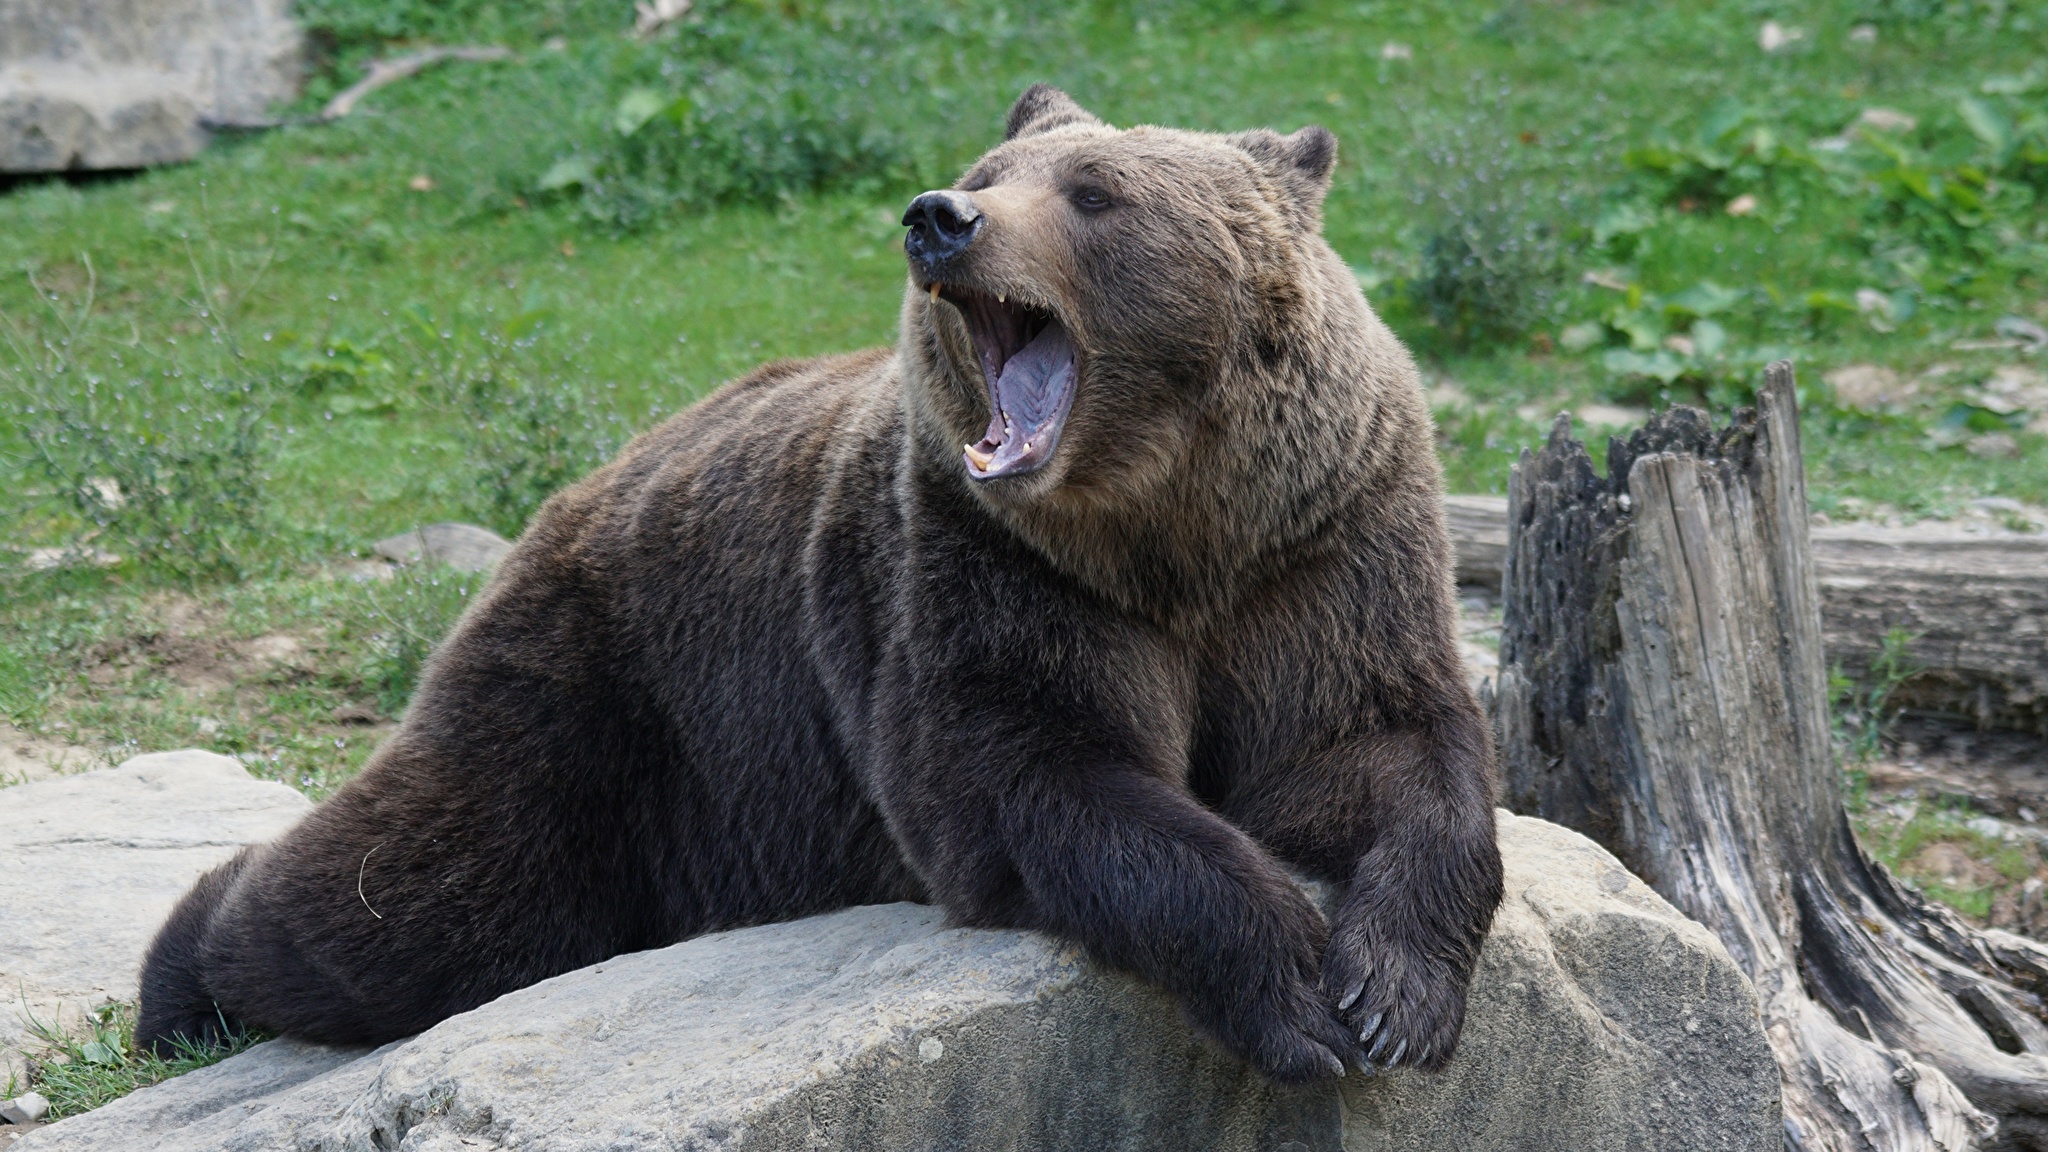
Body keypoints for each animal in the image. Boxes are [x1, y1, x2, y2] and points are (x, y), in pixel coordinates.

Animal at [132, 87, 1507, 1074]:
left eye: (1096, 191)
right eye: (990, 175)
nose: (937, 215)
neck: (1165, 527)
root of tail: (576, 491)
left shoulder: (1321, 545)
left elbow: (1378, 745)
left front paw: (1391, 996)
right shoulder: (982, 570)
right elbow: (1040, 777)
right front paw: (1294, 995)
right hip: (615, 707)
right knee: (421, 900)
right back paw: (181, 978)